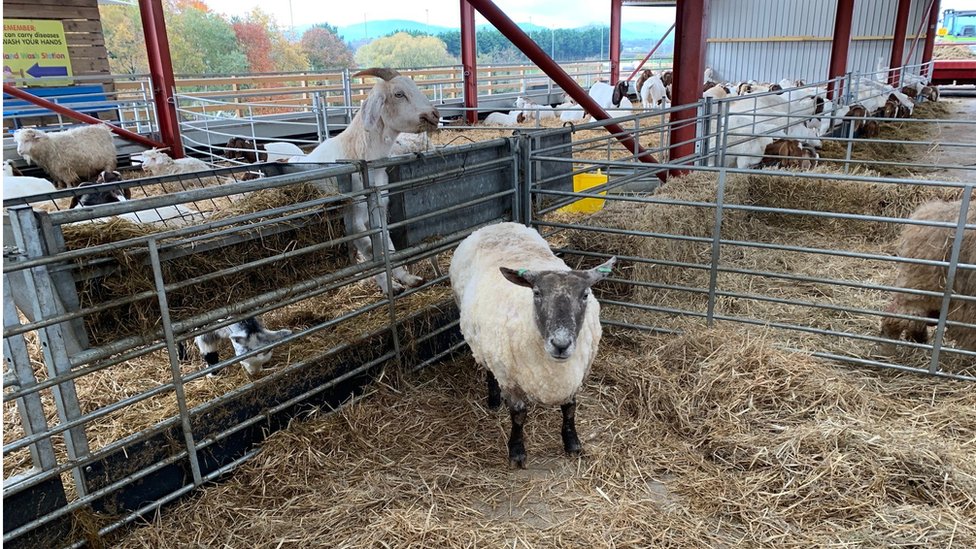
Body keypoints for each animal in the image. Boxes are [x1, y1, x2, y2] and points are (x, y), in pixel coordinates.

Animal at [293, 68, 440, 294]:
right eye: (399, 94)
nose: (434, 114)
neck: (358, 153)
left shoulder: (379, 209)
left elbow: (386, 245)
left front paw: (408, 278)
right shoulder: (352, 221)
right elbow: (372, 252)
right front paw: (390, 287)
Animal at [449, 222, 615, 468]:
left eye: (585, 294)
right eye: (536, 293)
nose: (561, 344)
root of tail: (496, 225)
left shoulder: (577, 374)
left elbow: (570, 409)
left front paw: (572, 443)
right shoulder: (510, 378)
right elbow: (518, 415)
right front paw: (517, 452)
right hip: (486, 345)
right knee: (488, 368)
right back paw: (493, 400)